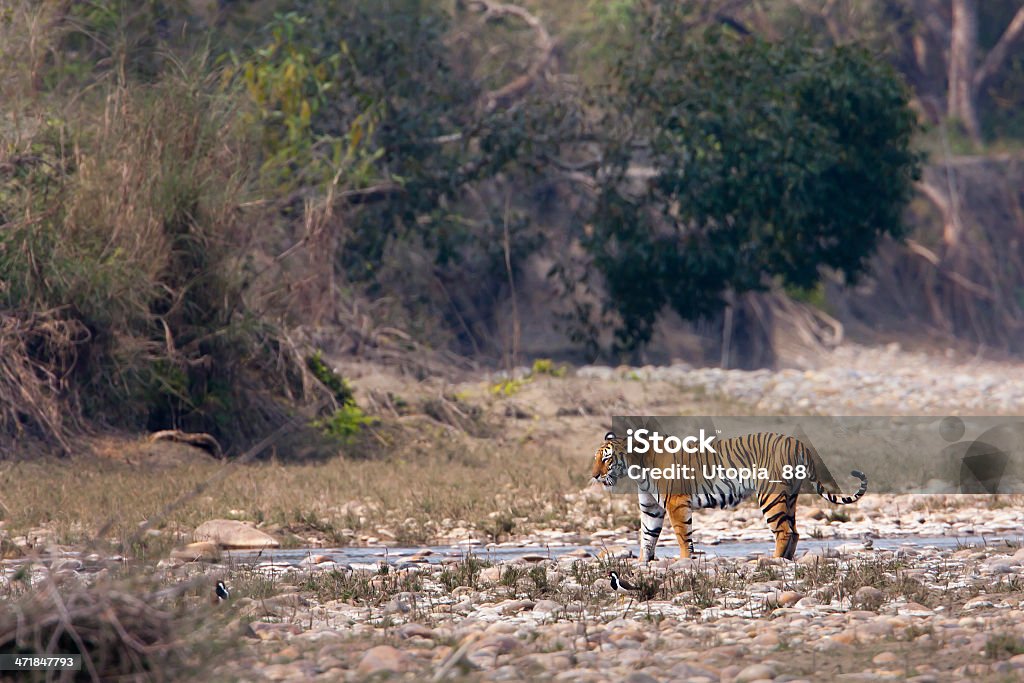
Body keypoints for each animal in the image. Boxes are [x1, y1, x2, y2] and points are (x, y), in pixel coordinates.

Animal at [589, 432, 868, 561]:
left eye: (607, 459)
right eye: (596, 458)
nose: (594, 476)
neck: (636, 468)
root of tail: (800, 444)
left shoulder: (676, 502)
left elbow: (682, 535)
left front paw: (684, 561)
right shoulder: (651, 507)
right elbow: (647, 536)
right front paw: (642, 563)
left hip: (770, 494)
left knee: (784, 530)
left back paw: (773, 560)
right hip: (790, 496)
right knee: (795, 531)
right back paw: (785, 560)